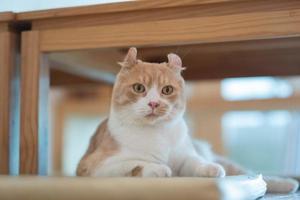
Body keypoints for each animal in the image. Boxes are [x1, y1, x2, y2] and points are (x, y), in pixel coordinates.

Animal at [77, 47, 298, 194]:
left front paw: (209, 168)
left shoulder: (186, 156)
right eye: (139, 88)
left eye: (167, 90)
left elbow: (196, 162)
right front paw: (158, 168)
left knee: (250, 172)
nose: (154, 103)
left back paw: (287, 184)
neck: (157, 133)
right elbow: (135, 163)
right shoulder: (94, 166)